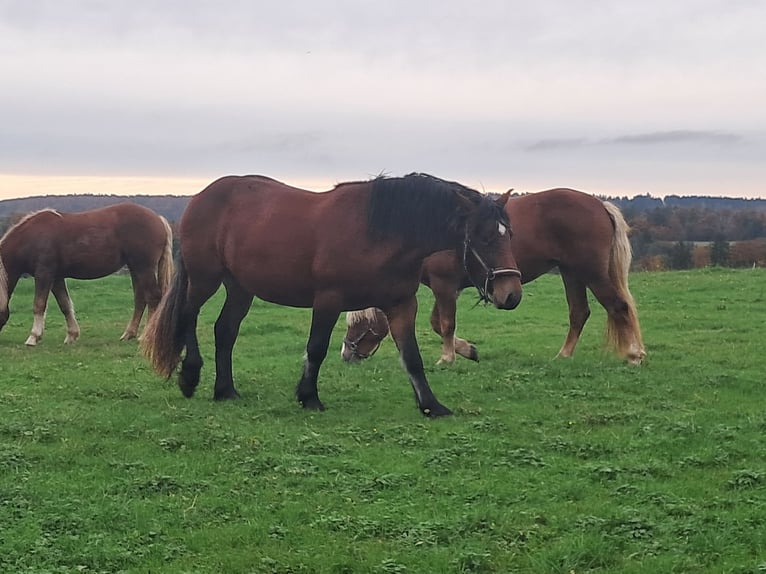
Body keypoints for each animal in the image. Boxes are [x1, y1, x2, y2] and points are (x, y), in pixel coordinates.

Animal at [0, 204, 174, 346]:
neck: (32, 237)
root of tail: (158, 219)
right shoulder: (56, 278)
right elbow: (65, 304)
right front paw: (72, 335)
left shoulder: (44, 273)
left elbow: (39, 304)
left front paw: (33, 337)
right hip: (135, 268)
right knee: (140, 299)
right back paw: (128, 334)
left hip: (144, 268)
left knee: (153, 298)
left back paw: (145, 336)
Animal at [141, 172, 524, 418]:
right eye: (484, 237)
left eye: (509, 235)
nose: (511, 294)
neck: (379, 232)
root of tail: (201, 198)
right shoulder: (328, 300)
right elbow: (316, 348)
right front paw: (308, 397)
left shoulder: (402, 305)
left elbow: (412, 357)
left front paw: (431, 405)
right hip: (205, 279)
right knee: (188, 318)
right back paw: (190, 378)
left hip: (240, 287)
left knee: (225, 331)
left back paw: (225, 390)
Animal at [344, 190, 648, 368]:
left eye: (358, 324)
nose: (346, 355)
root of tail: (599, 204)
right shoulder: (449, 288)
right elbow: (437, 323)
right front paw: (467, 350)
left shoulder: (444, 285)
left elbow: (446, 323)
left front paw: (447, 357)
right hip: (571, 273)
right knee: (579, 312)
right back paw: (564, 355)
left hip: (591, 273)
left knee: (618, 307)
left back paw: (634, 355)